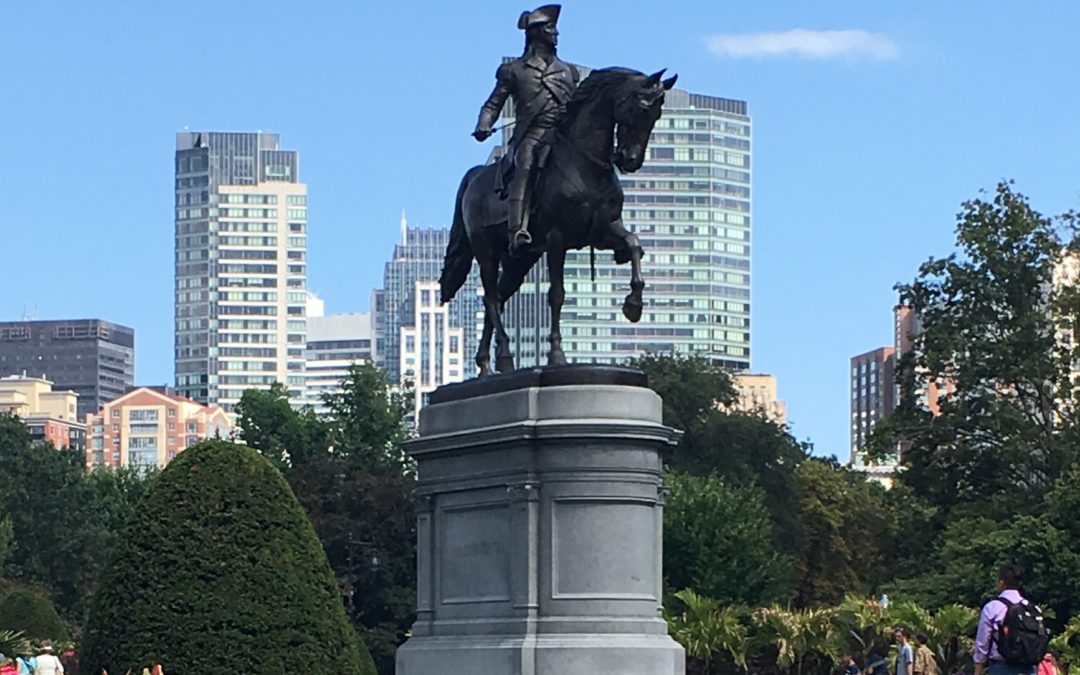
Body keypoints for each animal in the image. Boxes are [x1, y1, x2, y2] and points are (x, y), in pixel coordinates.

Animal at [438, 67, 673, 373]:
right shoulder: (556, 239)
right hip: (486, 250)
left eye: (657, 115)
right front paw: (557, 354)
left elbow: (633, 244)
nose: (630, 160)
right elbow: (557, 294)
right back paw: (503, 356)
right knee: (490, 298)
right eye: (639, 108)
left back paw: (487, 364)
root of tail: (476, 175)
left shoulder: (604, 231)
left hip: (519, 261)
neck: (585, 163)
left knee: (499, 298)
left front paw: (633, 305)